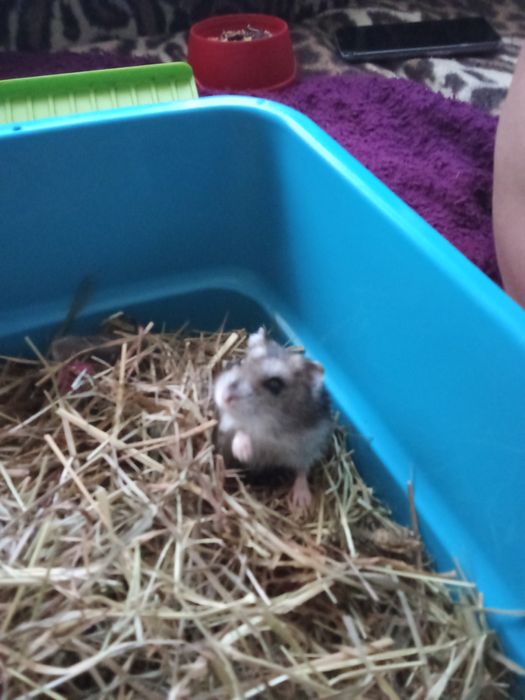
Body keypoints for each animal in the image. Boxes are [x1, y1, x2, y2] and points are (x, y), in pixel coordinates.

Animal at [213, 328, 333, 511]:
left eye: (275, 384)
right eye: (241, 362)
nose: (224, 397)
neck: (267, 420)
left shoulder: (311, 441)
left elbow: (303, 469)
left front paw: (302, 503)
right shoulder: (226, 424)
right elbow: (239, 429)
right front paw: (244, 453)